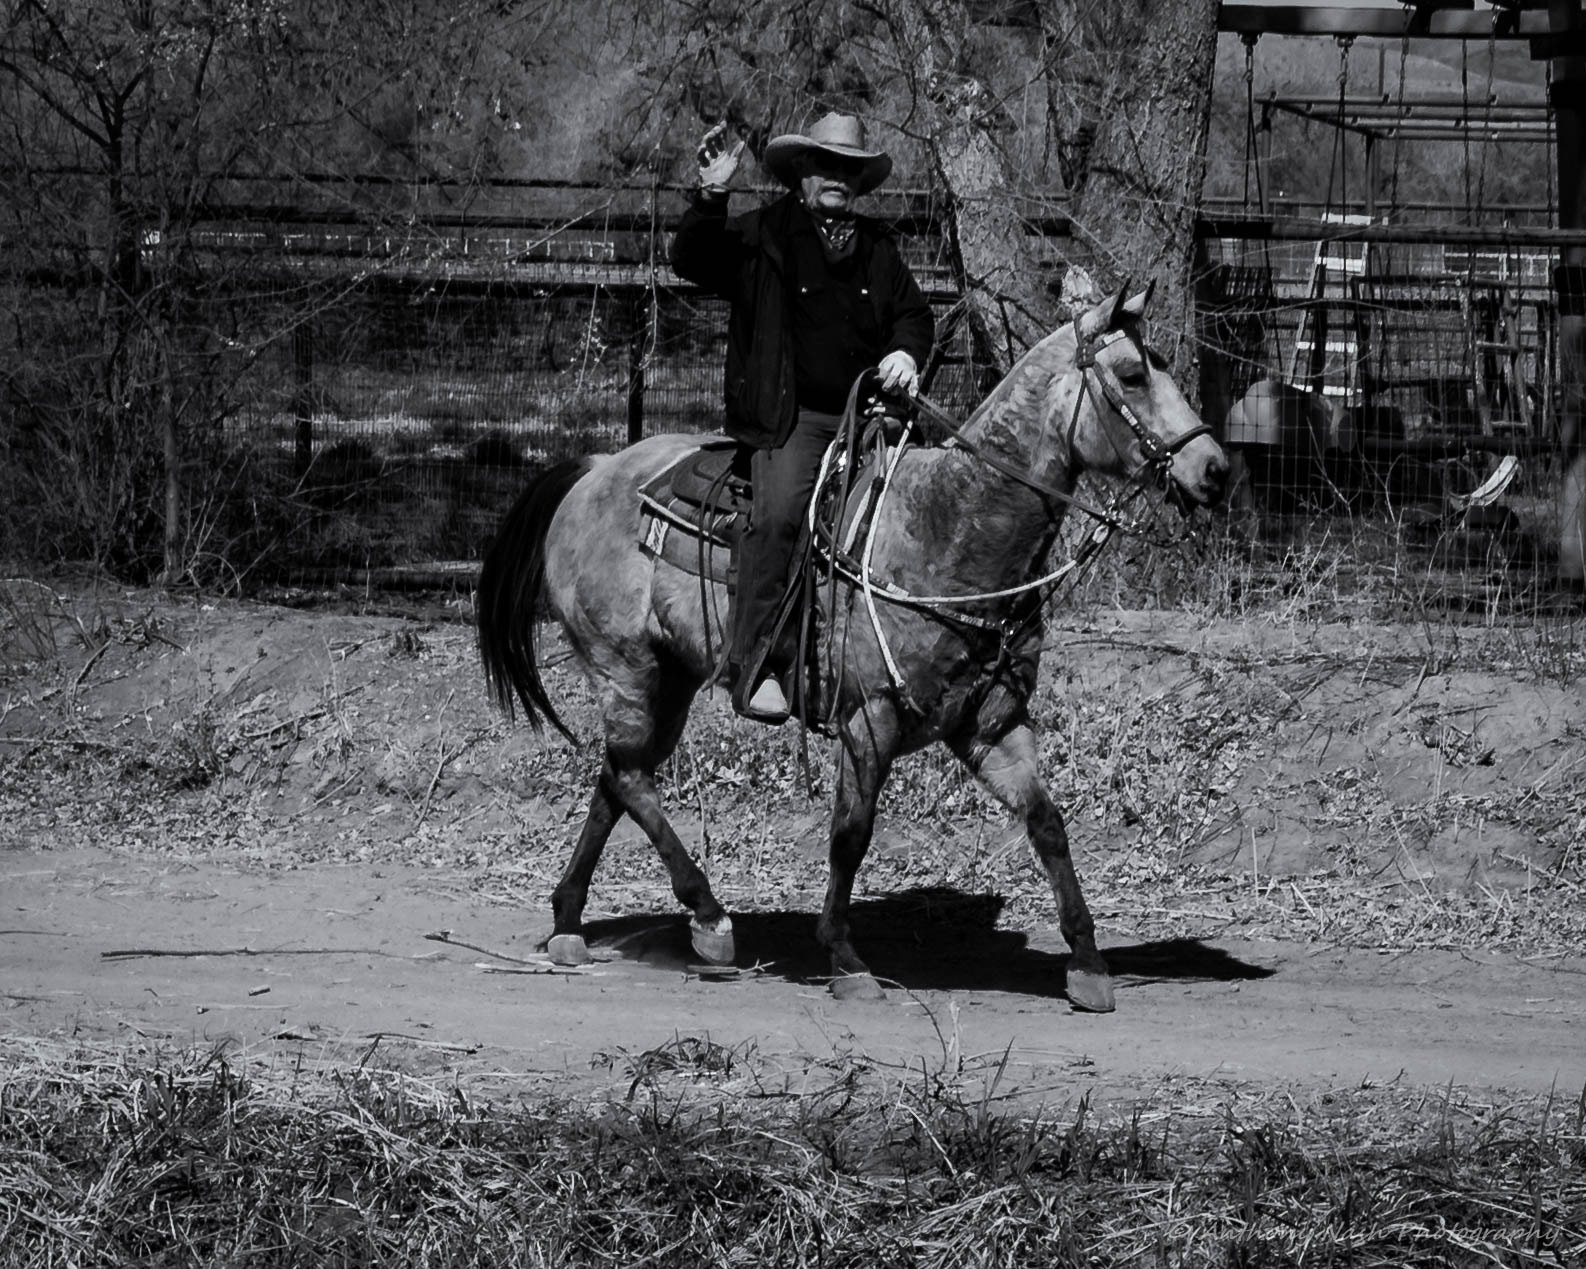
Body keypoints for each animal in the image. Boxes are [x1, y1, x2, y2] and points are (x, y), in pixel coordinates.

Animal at [475, 285, 1230, 1008]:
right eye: (1132, 374)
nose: (1215, 468)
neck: (949, 530)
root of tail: (597, 469)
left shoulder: (992, 726)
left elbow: (1047, 823)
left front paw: (1088, 965)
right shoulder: (869, 720)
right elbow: (851, 833)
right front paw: (845, 957)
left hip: (672, 678)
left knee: (616, 778)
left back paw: (570, 923)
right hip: (623, 665)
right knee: (631, 777)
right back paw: (709, 918)